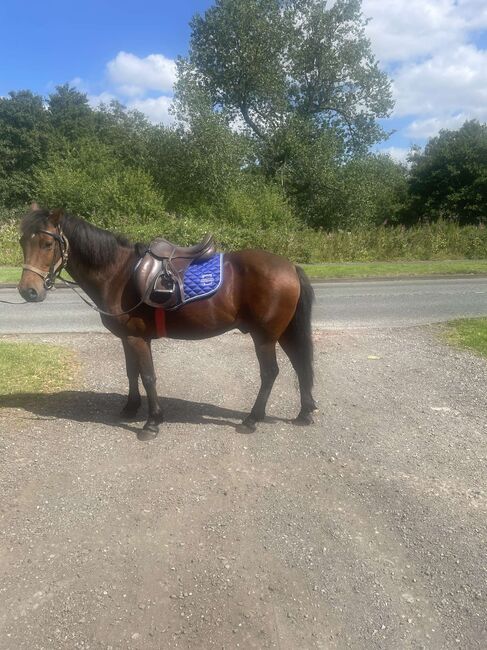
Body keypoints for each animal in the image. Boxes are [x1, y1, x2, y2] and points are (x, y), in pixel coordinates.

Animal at [17, 208, 318, 440]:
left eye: (47, 244)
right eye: (22, 242)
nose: (28, 291)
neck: (118, 273)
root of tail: (290, 266)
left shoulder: (138, 339)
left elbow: (148, 377)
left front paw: (152, 422)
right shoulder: (127, 338)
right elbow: (132, 373)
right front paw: (130, 408)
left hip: (264, 337)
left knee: (270, 373)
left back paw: (252, 419)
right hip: (283, 333)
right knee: (300, 365)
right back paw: (305, 412)